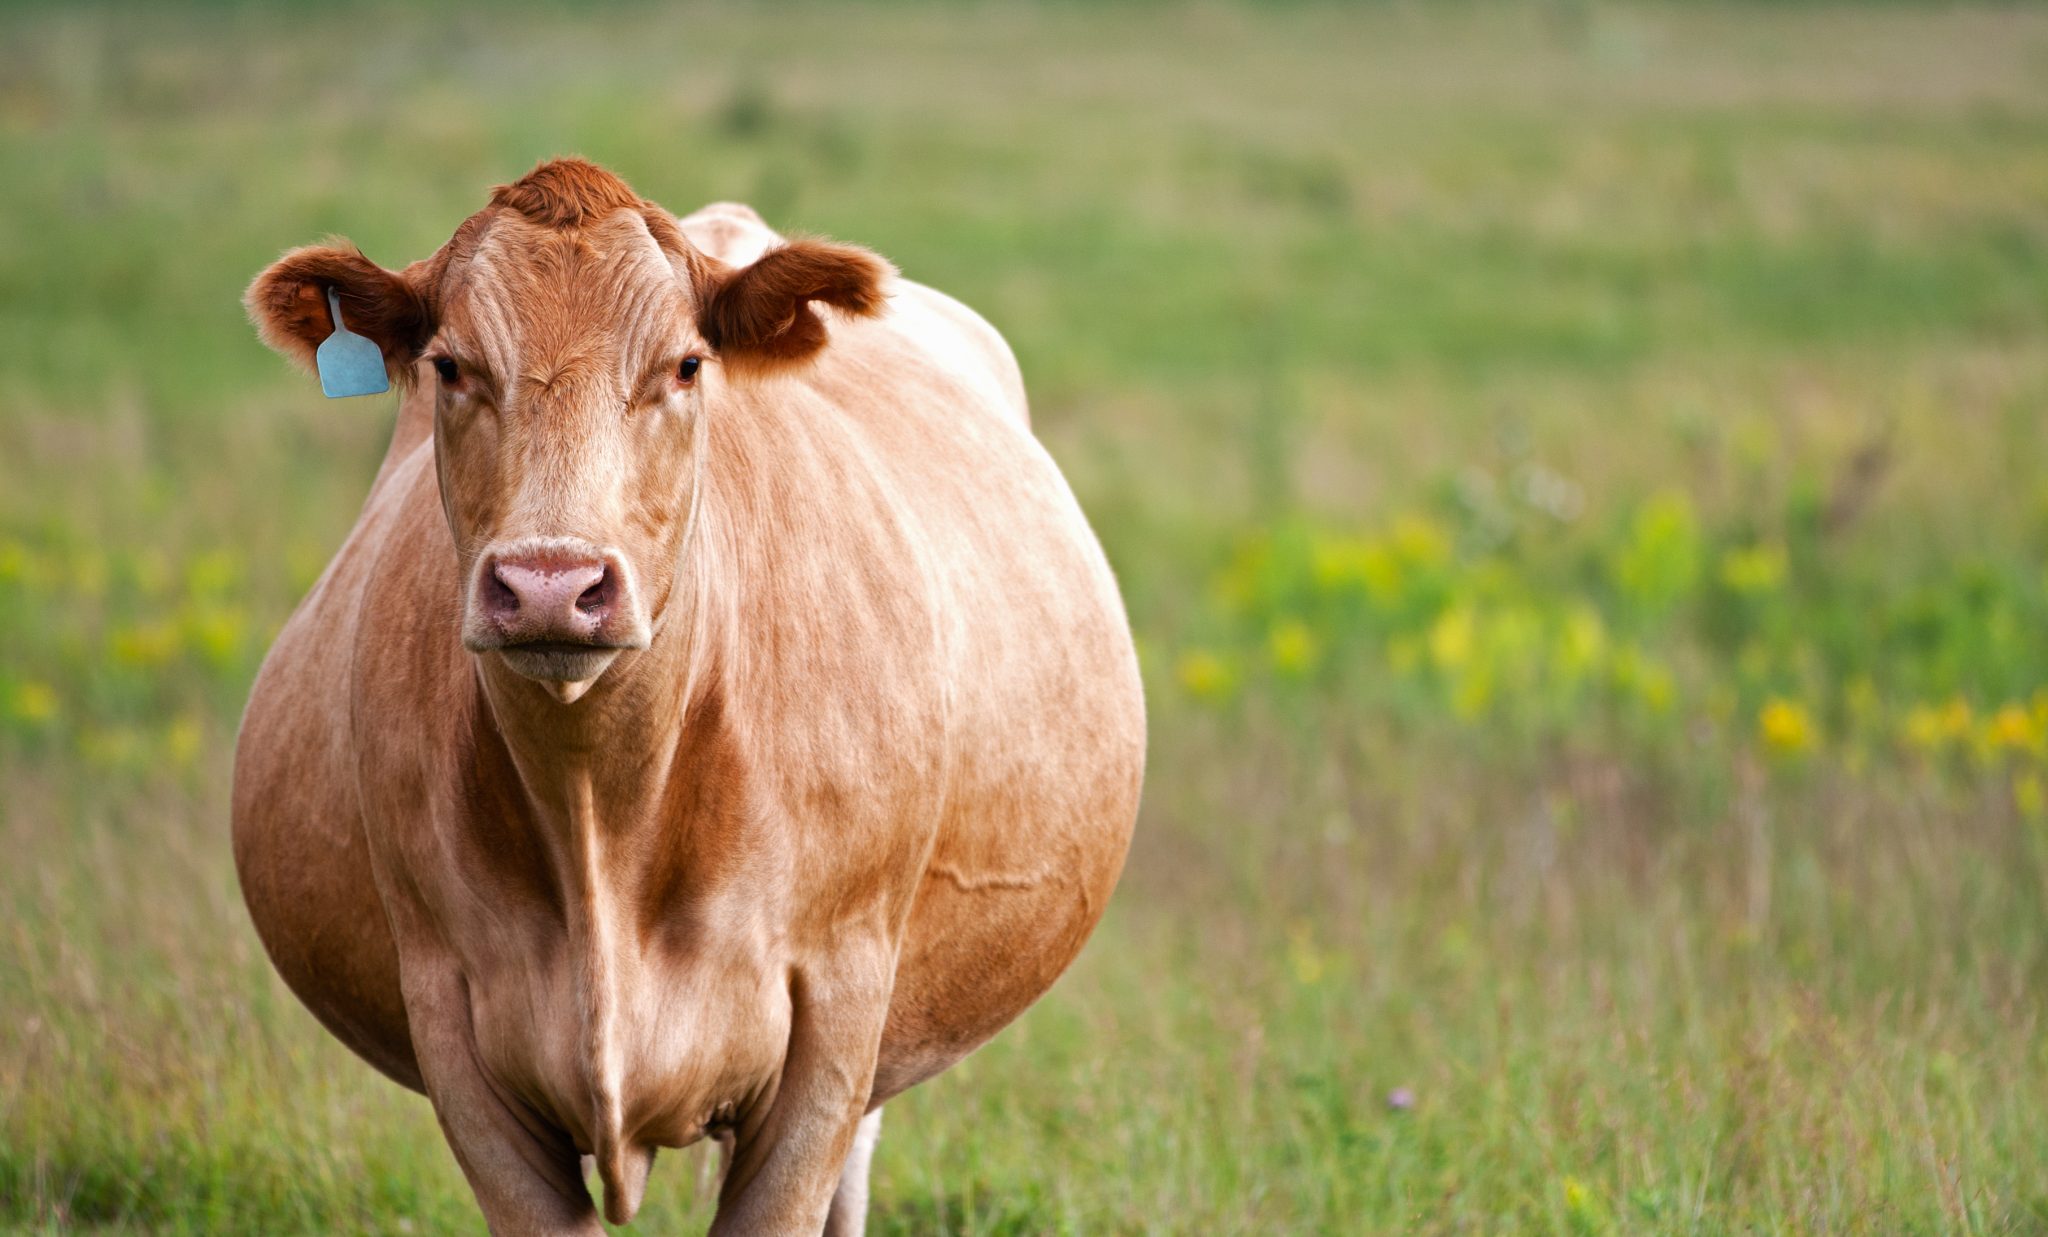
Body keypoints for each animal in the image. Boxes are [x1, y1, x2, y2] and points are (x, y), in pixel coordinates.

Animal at [235, 159, 1155, 1228]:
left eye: (683, 367)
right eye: (451, 366)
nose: (551, 583)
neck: (602, 810)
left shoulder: (836, 1016)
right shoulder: (452, 1029)